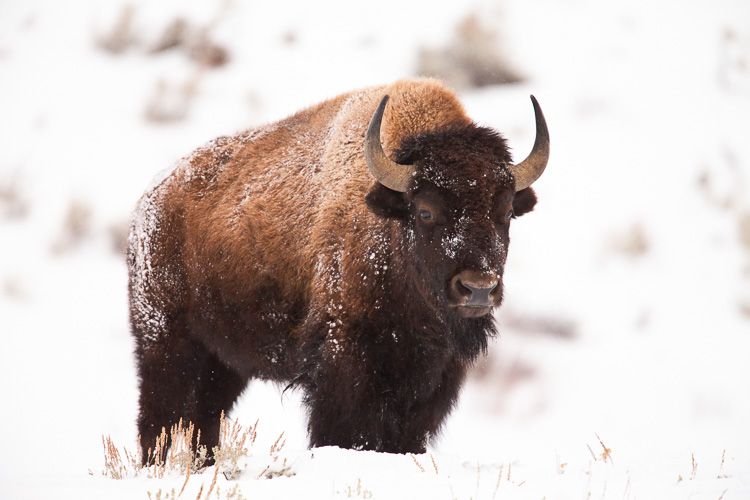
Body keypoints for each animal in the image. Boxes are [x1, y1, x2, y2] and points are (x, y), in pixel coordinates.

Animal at [127, 78, 549, 462]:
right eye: (426, 210)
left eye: (505, 212)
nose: (477, 288)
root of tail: (150, 202)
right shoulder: (343, 364)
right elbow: (344, 432)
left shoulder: (431, 385)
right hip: (163, 343)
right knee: (159, 421)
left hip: (225, 362)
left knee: (205, 421)